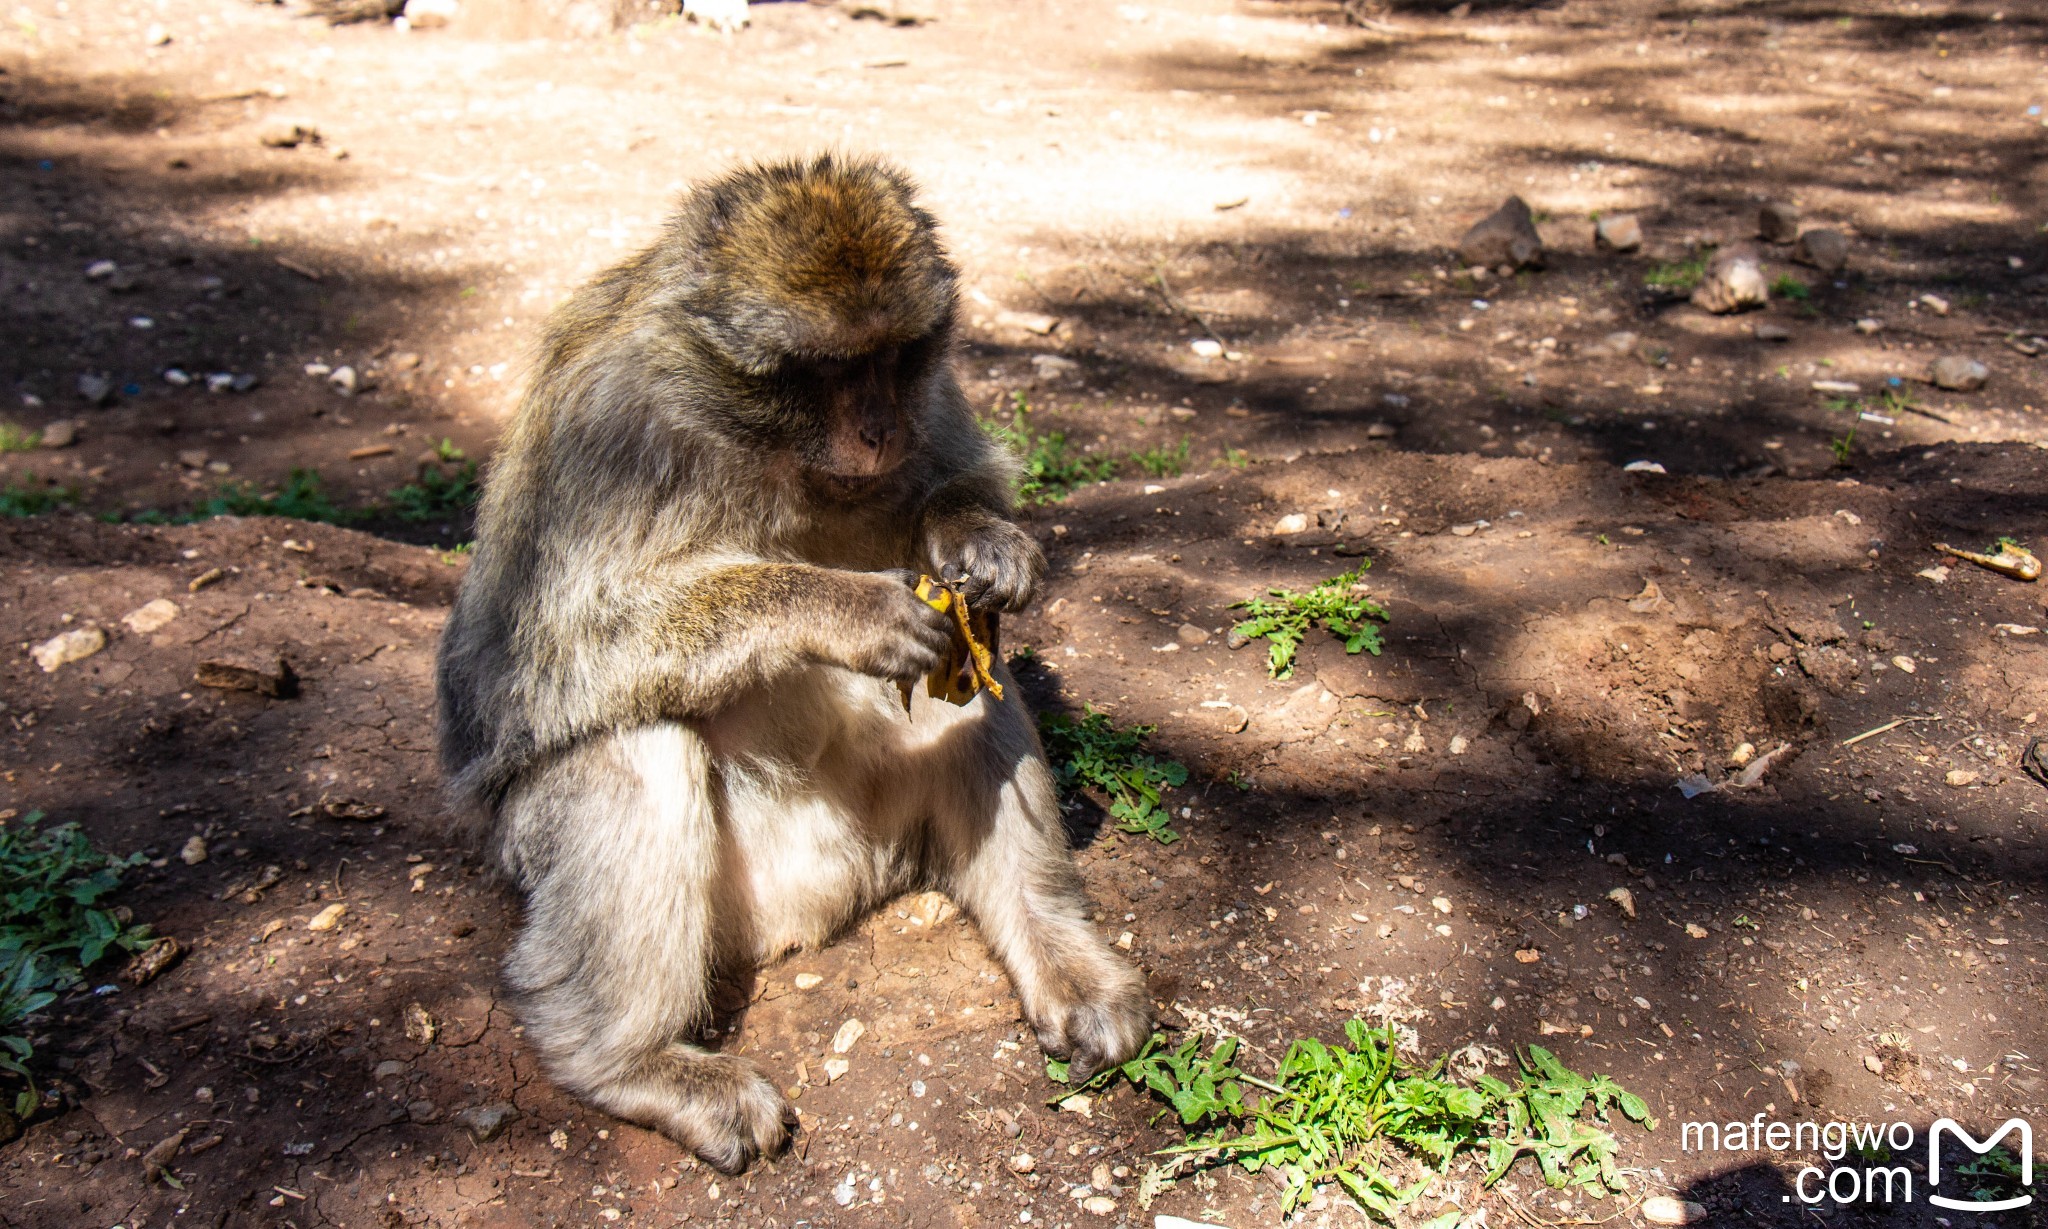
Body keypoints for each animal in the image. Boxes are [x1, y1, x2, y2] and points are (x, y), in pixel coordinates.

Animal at [436, 153, 1155, 1171]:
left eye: (893, 357)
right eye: (831, 370)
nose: (881, 428)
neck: (761, 442)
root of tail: (821, 900)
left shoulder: (929, 398)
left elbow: (959, 503)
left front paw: (983, 541)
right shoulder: (606, 439)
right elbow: (548, 654)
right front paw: (847, 608)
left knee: (974, 693)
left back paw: (1059, 952)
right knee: (633, 744)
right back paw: (633, 1060)